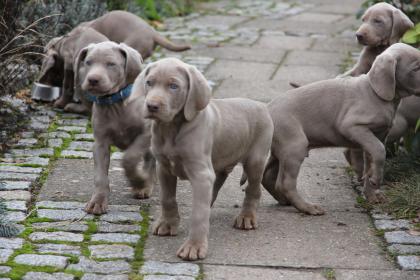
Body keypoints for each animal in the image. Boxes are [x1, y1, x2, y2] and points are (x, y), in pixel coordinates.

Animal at [74, 41, 155, 214]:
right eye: (88, 62)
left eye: (111, 64)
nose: (93, 79)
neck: (114, 103)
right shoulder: (100, 144)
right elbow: (100, 176)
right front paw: (97, 202)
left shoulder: (146, 134)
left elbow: (129, 159)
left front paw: (139, 182)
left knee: (150, 160)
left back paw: (145, 186)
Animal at [133, 58, 274, 262]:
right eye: (149, 83)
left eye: (174, 86)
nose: (152, 106)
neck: (171, 129)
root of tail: (262, 105)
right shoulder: (164, 168)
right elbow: (167, 198)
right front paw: (168, 223)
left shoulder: (201, 174)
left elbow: (198, 214)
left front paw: (194, 247)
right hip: (219, 164)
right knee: (216, 185)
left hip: (255, 160)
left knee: (253, 190)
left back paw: (246, 217)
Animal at [262, 43, 420, 214]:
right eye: (416, 68)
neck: (375, 93)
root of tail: (267, 109)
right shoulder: (352, 127)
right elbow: (380, 150)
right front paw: (376, 179)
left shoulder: (377, 136)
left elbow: (371, 160)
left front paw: (371, 193)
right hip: (294, 146)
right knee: (284, 183)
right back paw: (308, 208)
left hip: (282, 149)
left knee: (268, 176)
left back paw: (286, 201)